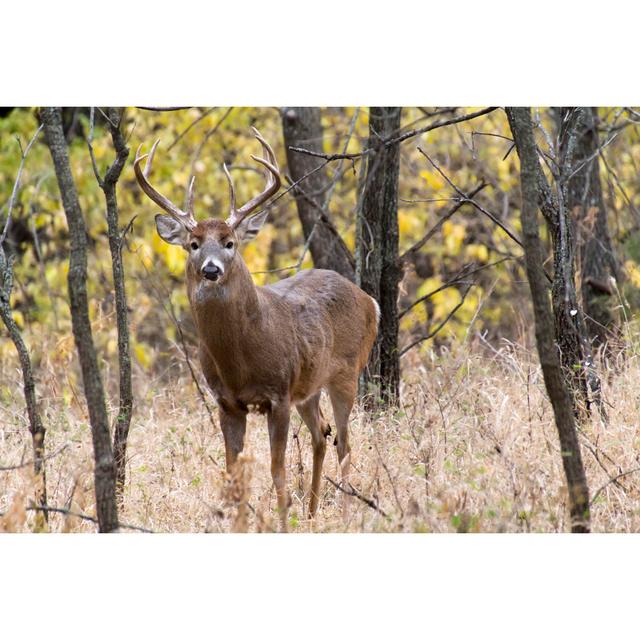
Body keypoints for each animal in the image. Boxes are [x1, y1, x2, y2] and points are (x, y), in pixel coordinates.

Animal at [132, 126, 378, 528]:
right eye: (193, 244)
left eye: (230, 243)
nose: (211, 269)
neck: (240, 359)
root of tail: (369, 300)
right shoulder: (228, 402)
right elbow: (233, 476)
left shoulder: (277, 394)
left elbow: (277, 472)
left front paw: (282, 524)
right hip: (308, 387)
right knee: (321, 435)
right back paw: (312, 513)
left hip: (346, 374)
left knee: (345, 442)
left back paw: (342, 515)